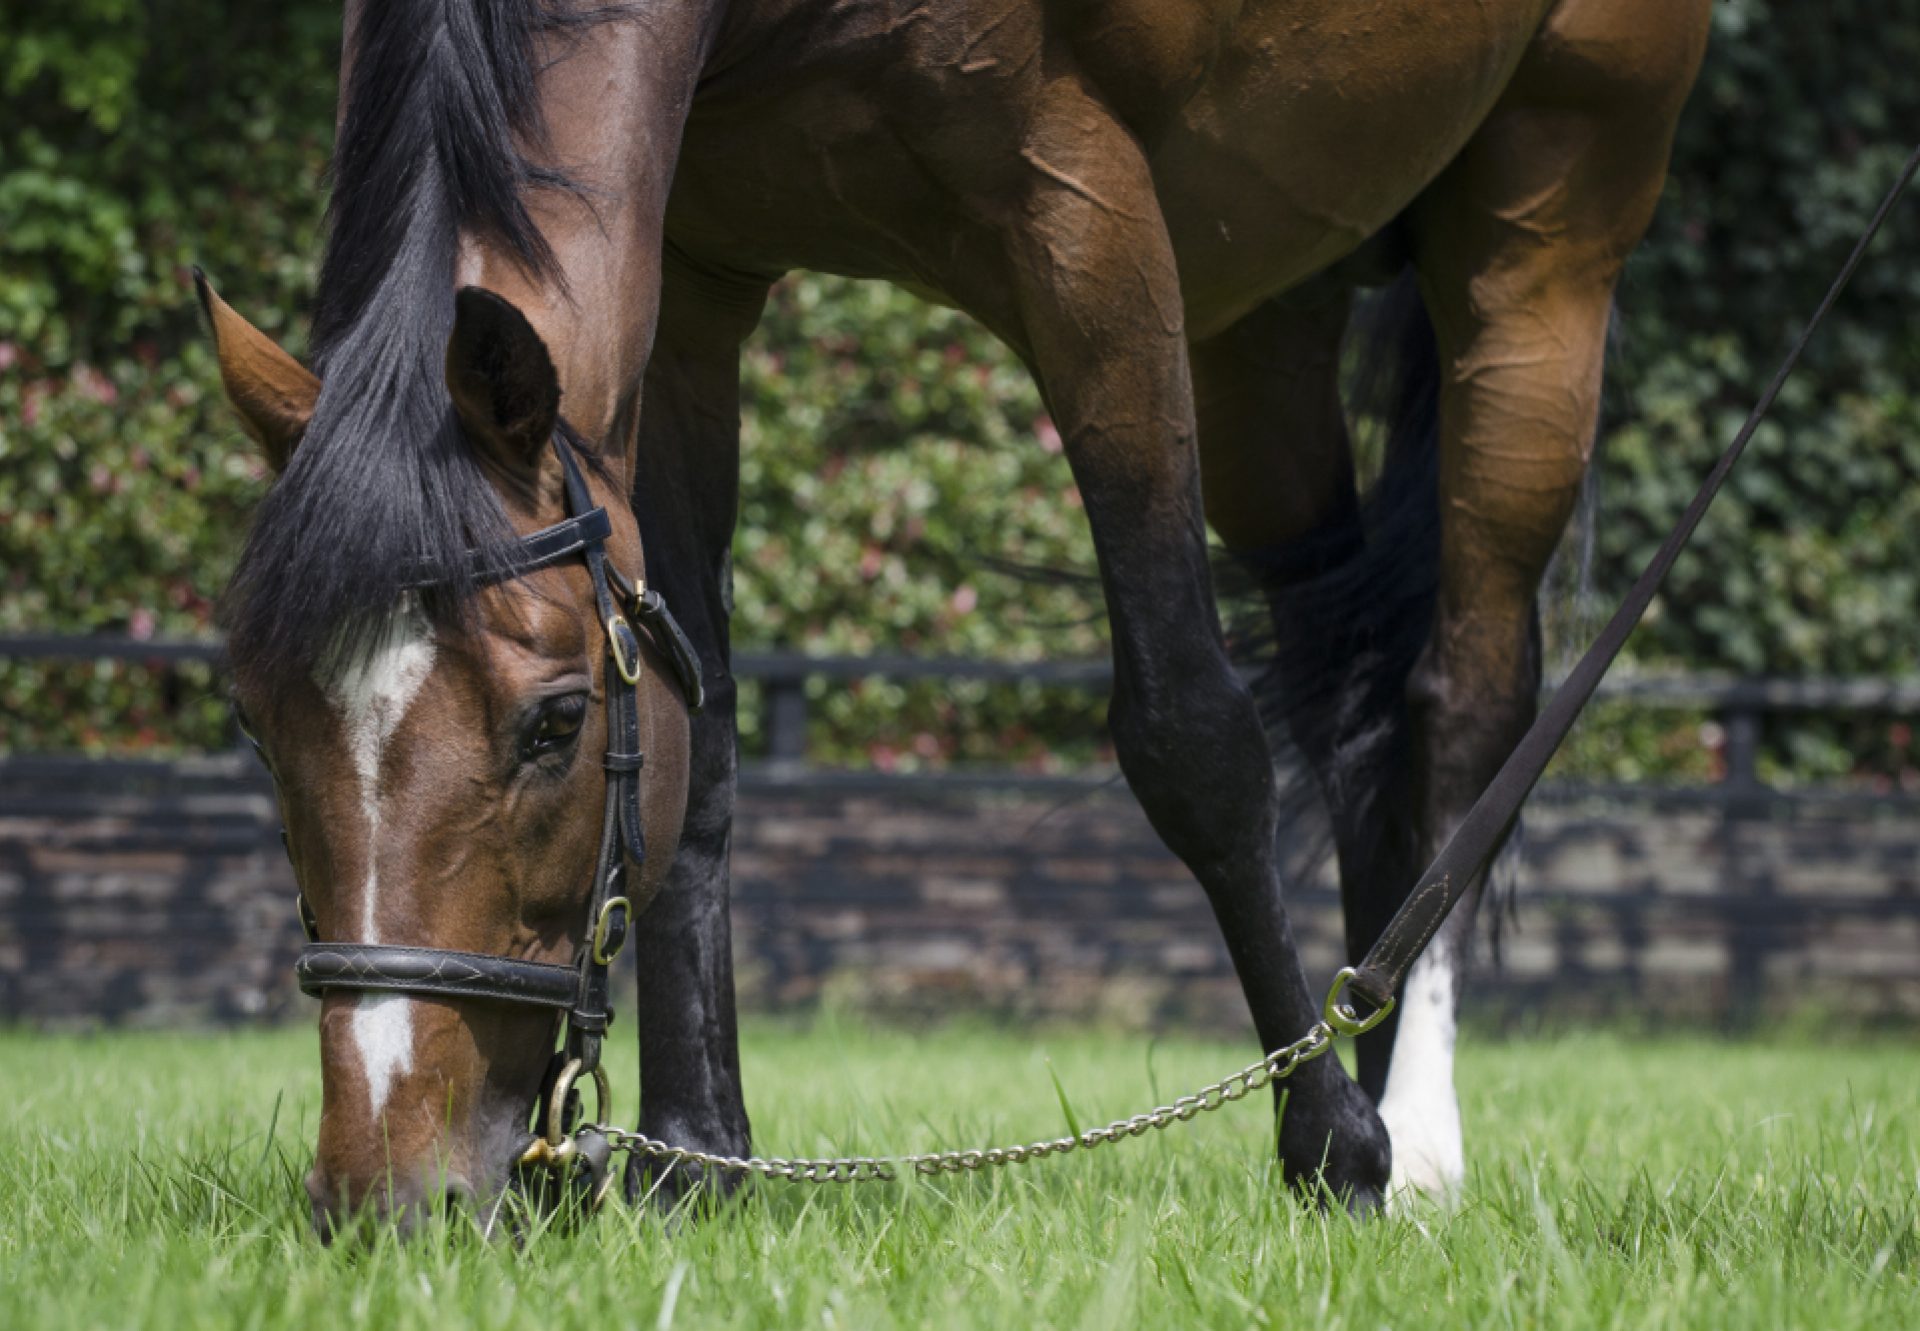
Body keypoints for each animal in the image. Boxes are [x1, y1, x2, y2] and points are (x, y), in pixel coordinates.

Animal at [206, 0, 1712, 1221]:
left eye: (556, 722)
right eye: (261, 724)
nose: (382, 1189)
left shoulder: (1085, 216)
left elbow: (1192, 734)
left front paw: (1332, 1144)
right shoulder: (693, 285)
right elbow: (707, 733)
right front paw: (695, 1156)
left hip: (1547, 237)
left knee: (1469, 699)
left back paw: (1415, 1119)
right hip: (1264, 313)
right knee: (1351, 701)